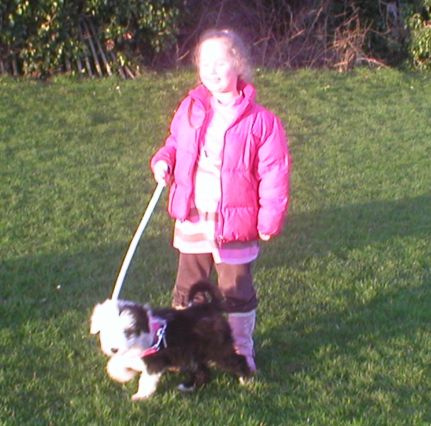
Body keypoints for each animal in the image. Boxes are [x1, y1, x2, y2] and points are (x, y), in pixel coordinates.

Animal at [90, 281, 251, 400]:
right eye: (106, 330)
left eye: (128, 332)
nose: (114, 349)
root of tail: (208, 307)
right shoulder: (130, 357)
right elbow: (113, 365)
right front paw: (124, 375)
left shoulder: (154, 362)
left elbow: (146, 380)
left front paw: (140, 396)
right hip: (192, 354)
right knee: (203, 371)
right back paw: (188, 387)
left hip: (217, 349)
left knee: (237, 360)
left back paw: (246, 381)